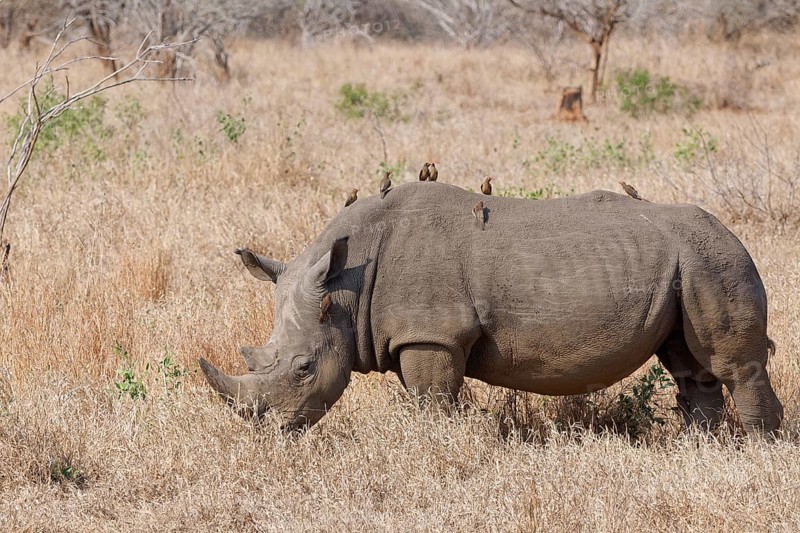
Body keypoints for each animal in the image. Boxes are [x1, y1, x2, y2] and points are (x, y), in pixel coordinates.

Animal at [200, 183, 784, 435]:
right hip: (690, 264)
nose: (268, 432)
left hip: (717, 259)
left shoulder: (431, 334)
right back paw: (701, 447)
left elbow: (432, 401)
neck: (344, 288)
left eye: (303, 368)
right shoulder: (420, 334)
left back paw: (755, 449)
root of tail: (733, 231)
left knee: (733, 365)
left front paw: (433, 447)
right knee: (690, 366)